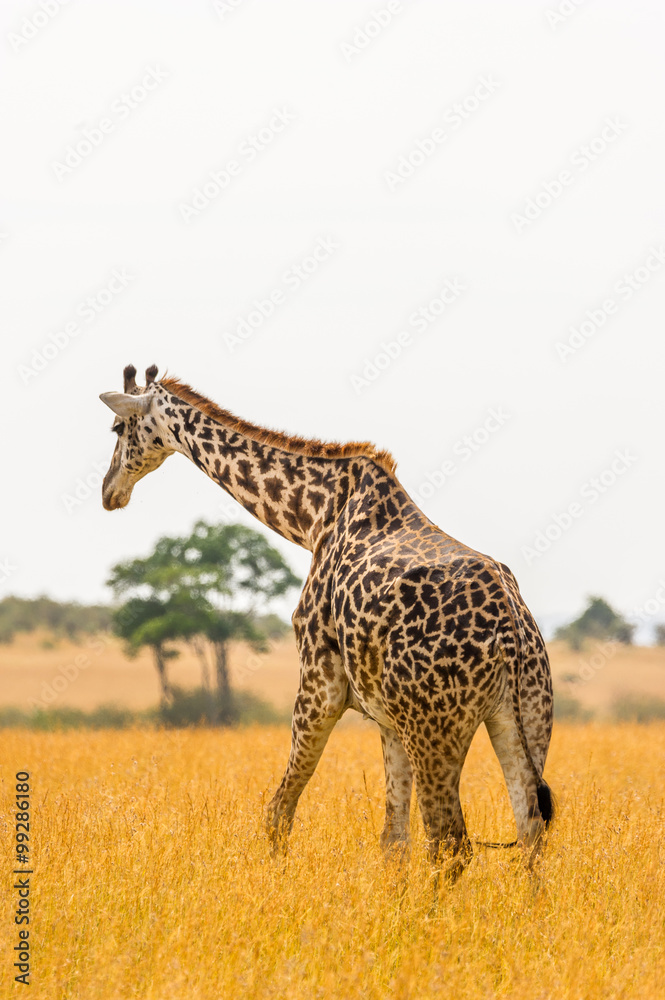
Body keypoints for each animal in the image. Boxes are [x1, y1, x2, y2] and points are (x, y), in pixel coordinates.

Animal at [100, 365, 554, 875]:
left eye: (117, 428)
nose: (109, 492)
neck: (312, 516)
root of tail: (512, 631)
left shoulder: (321, 681)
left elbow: (279, 810)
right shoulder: (388, 717)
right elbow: (394, 839)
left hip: (436, 726)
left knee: (451, 840)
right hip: (525, 715)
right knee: (528, 828)